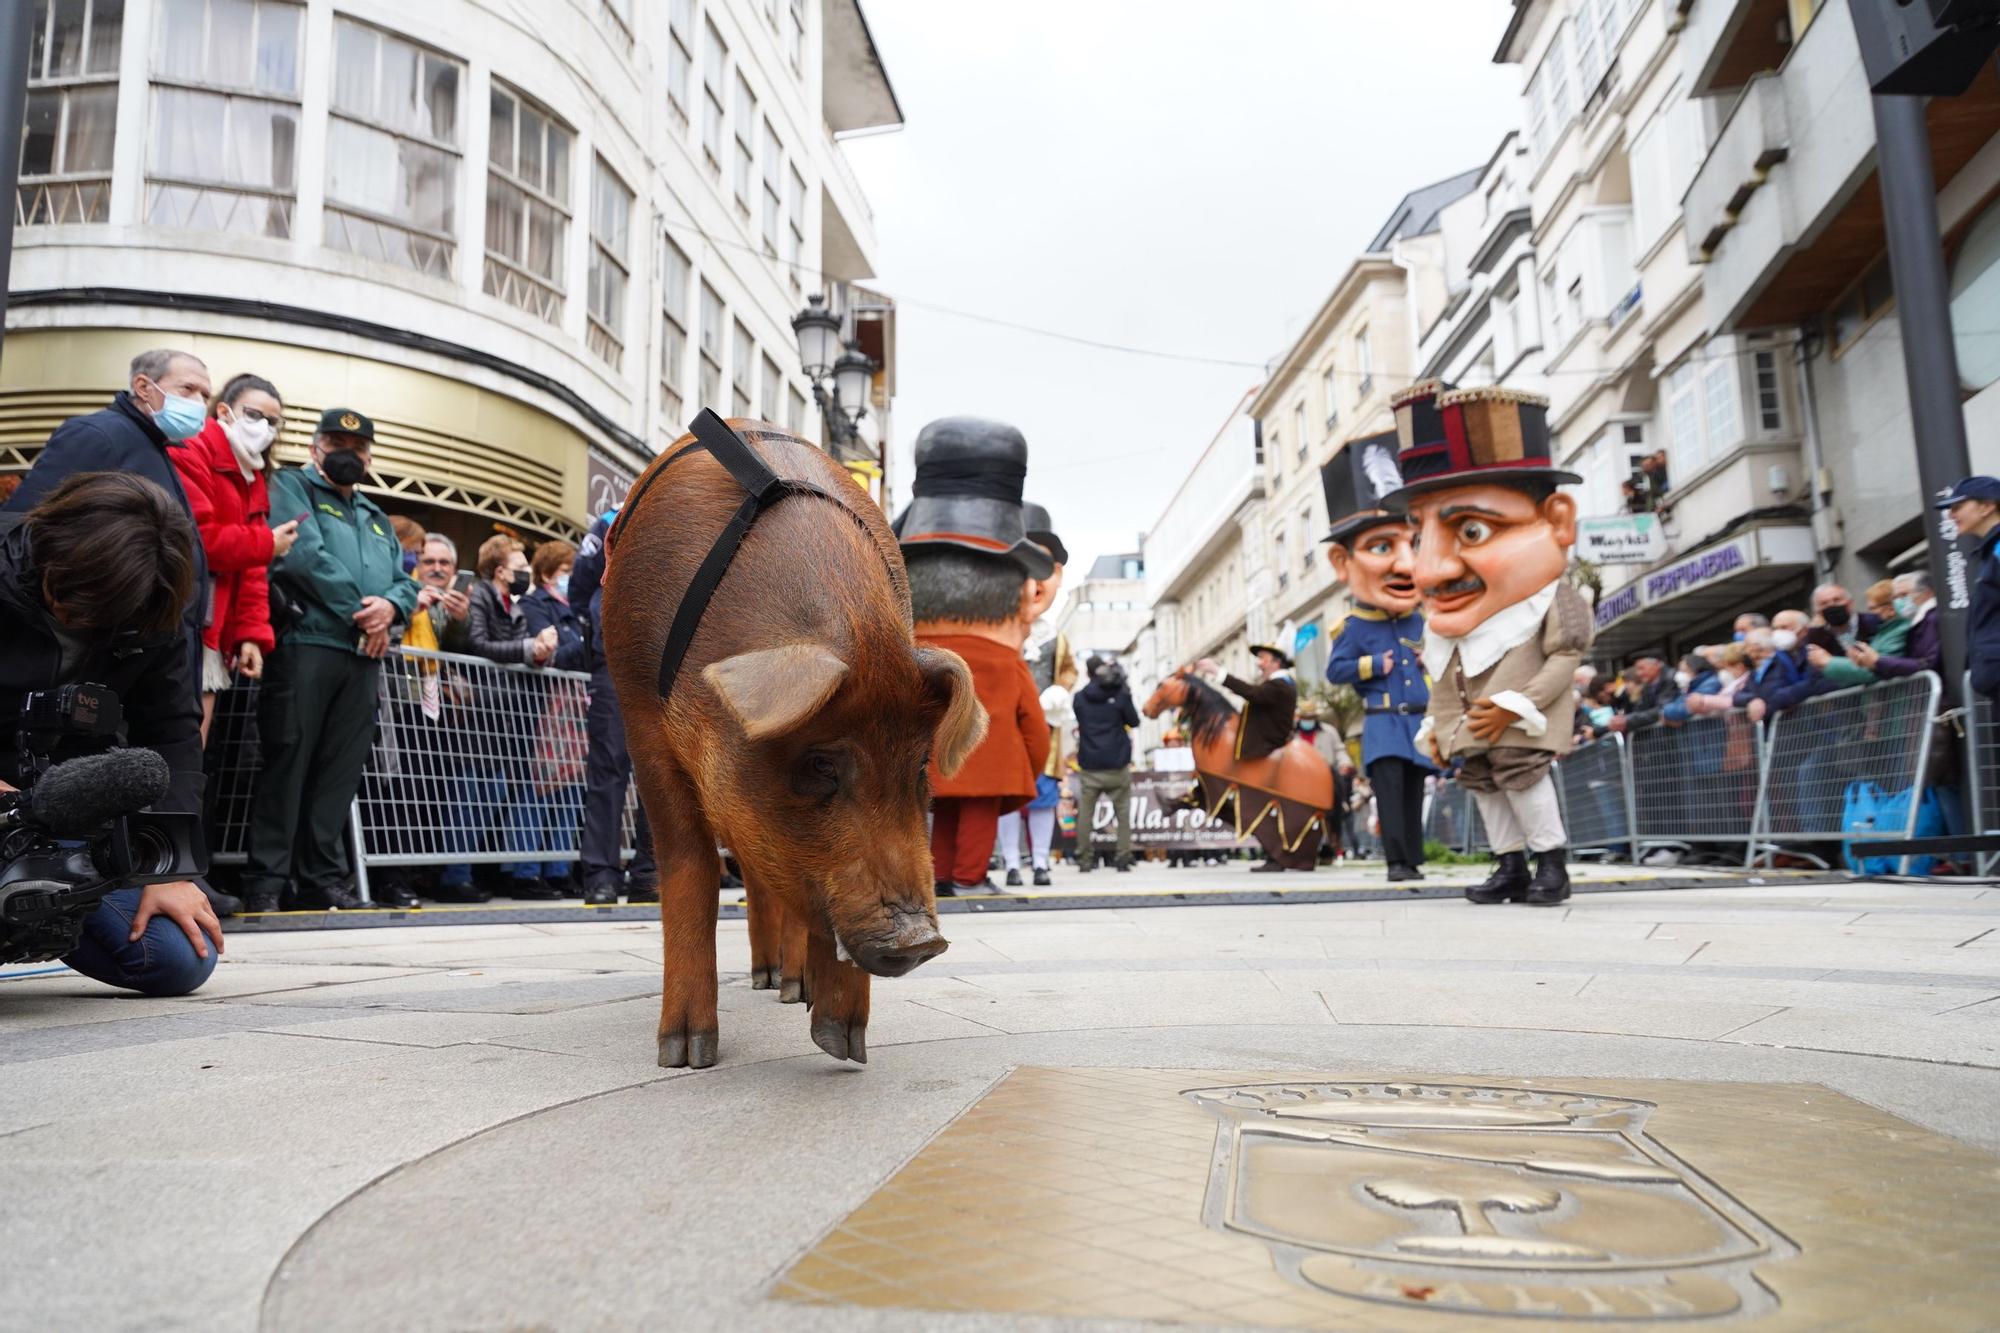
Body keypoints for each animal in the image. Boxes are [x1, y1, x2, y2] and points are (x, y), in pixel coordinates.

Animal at [600, 420, 992, 1064]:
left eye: (919, 769)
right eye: (820, 765)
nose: (923, 941)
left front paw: (845, 1047)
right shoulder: (642, 722)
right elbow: (690, 868)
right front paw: (686, 1054)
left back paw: (789, 990)